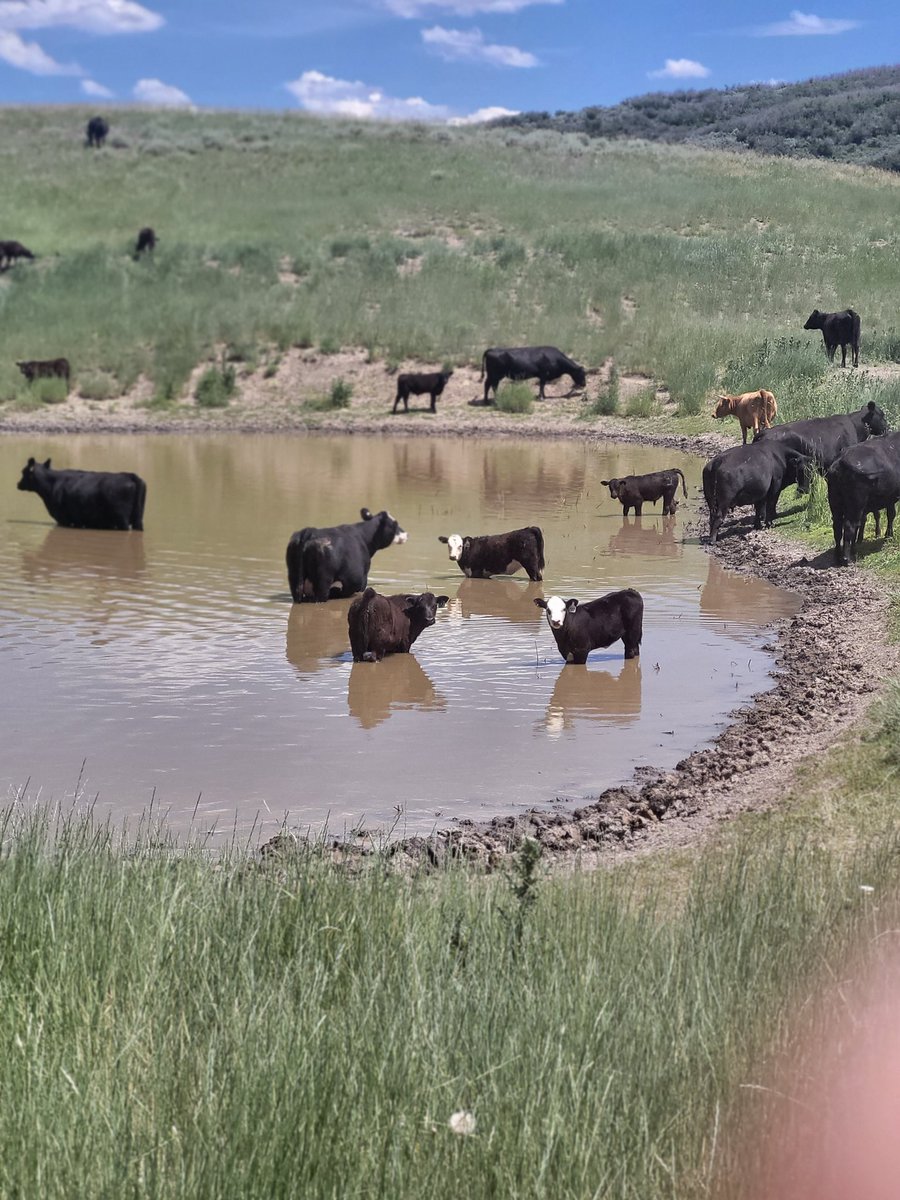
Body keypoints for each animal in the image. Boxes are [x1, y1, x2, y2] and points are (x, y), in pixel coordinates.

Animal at [17, 453, 148, 530]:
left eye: (23, 472)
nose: (18, 484)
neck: (51, 484)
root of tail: (130, 476)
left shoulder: (62, 519)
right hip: (138, 520)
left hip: (122, 520)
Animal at [830, 436, 900, 566]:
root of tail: (840, 460)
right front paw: (888, 535)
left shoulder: (889, 496)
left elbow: (891, 514)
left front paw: (888, 535)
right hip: (855, 504)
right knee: (849, 526)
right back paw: (846, 558)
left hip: (835, 503)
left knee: (837, 527)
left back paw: (838, 556)